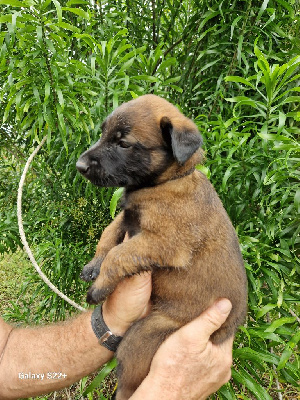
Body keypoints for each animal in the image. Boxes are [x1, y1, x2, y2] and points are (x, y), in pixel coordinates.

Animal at [76, 94, 247, 400]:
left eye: (123, 143)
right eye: (103, 134)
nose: (79, 166)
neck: (169, 180)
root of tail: (224, 333)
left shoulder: (164, 241)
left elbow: (119, 253)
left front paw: (100, 287)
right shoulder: (127, 215)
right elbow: (109, 234)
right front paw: (94, 265)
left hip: (144, 335)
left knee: (129, 382)